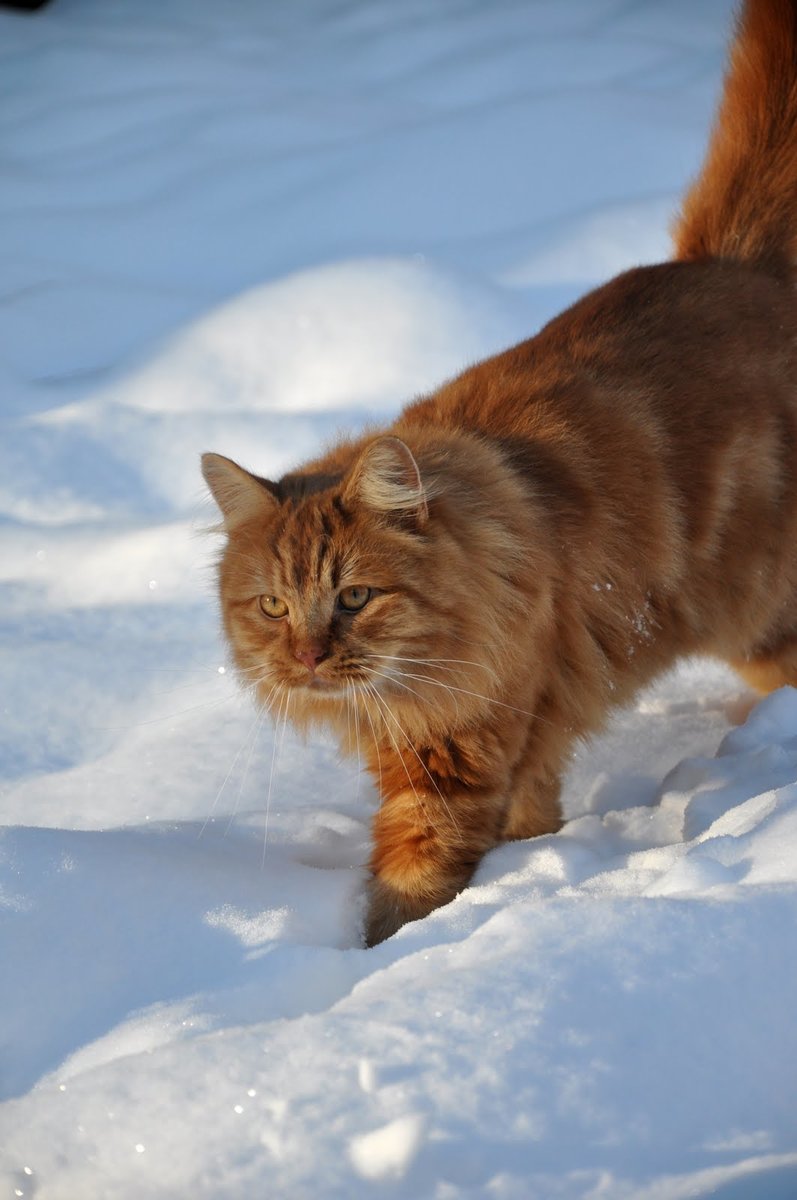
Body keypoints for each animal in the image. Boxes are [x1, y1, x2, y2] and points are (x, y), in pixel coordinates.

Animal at [202, 0, 797, 945]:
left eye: (355, 597)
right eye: (271, 607)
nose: (307, 657)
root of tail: (733, 266)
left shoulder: (459, 755)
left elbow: (408, 889)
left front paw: (380, 961)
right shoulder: (508, 744)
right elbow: (528, 822)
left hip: (764, 621)